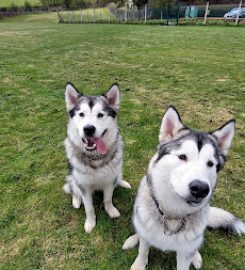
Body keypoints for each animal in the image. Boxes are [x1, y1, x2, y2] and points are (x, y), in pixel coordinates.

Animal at [63, 82, 132, 234]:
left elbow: (108, 199)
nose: (89, 129)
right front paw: (90, 223)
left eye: (100, 115)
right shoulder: (84, 186)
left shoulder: (109, 181)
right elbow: (89, 208)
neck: (96, 157)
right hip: (72, 177)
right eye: (81, 114)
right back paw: (76, 201)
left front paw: (111, 211)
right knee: (73, 189)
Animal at [123, 105, 244, 270]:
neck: (172, 215)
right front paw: (139, 264)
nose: (200, 189)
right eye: (182, 157)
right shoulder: (146, 236)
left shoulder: (185, 253)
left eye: (210, 163)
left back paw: (196, 257)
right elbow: (143, 250)